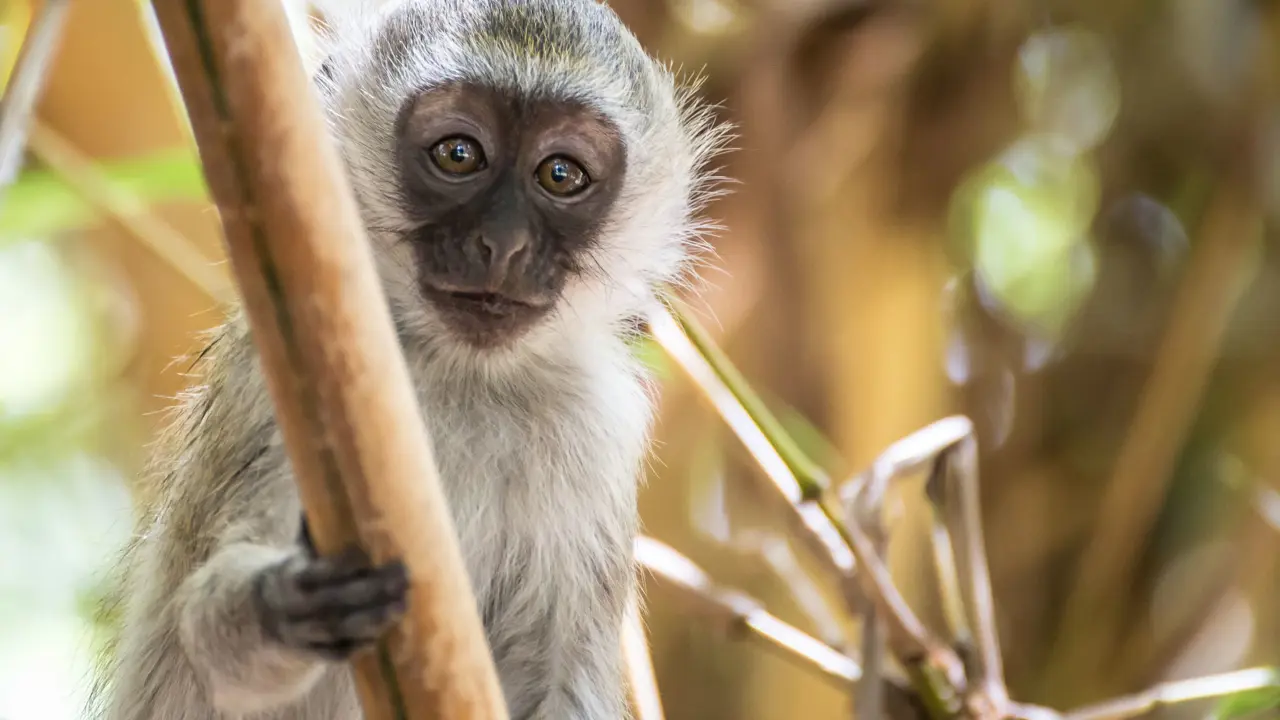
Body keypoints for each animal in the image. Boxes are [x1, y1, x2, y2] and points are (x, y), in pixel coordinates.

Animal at [93, 1, 727, 717]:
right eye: (458, 155)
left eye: (561, 175)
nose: (502, 244)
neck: (462, 375)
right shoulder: (274, 381)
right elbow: (204, 643)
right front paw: (284, 605)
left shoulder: (597, 429)